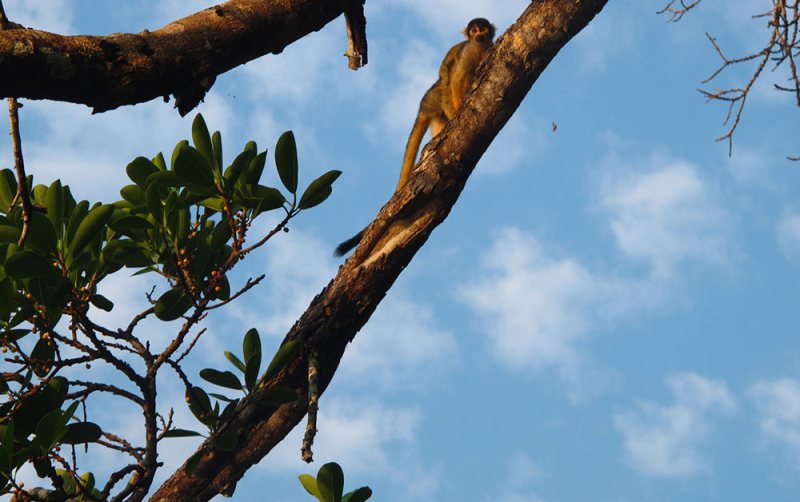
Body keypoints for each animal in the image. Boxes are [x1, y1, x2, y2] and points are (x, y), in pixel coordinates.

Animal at [334, 18, 495, 257]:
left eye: (482, 29)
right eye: (474, 30)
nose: (478, 35)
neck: (480, 48)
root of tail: (423, 105)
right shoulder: (468, 53)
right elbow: (456, 79)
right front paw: (459, 103)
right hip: (436, 96)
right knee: (447, 83)